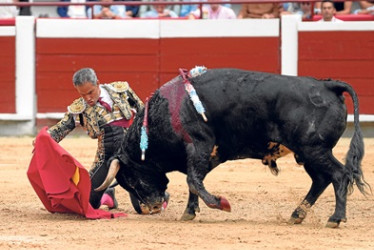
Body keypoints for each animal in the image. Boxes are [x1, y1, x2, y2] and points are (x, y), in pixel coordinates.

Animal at [106, 68, 370, 227]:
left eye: (132, 179)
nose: (151, 208)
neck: (166, 113)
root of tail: (328, 86)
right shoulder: (206, 155)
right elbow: (194, 182)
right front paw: (189, 212)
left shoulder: (199, 145)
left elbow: (192, 180)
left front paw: (221, 203)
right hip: (307, 152)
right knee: (321, 179)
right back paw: (297, 214)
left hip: (314, 148)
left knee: (339, 174)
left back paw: (335, 218)